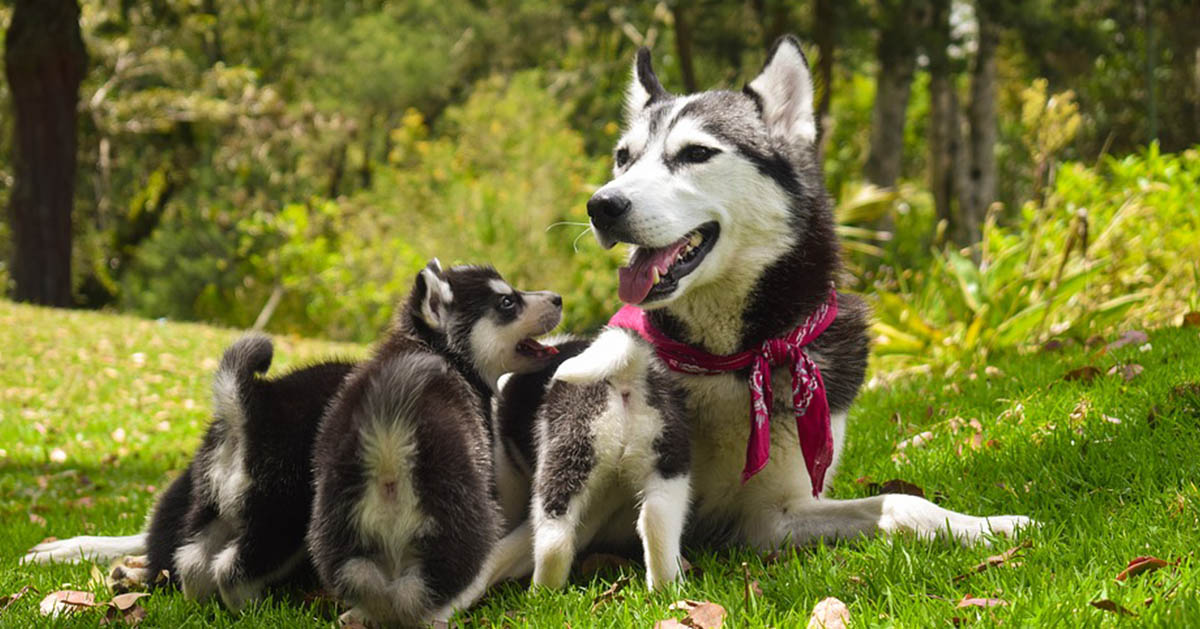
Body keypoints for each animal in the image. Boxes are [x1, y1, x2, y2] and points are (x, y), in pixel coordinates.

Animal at [304, 259, 556, 624]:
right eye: (507, 302)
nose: (558, 298)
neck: (437, 348)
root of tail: (390, 447)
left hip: (338, 537)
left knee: (366, 582)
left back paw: (358, 615)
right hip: (465, 525)